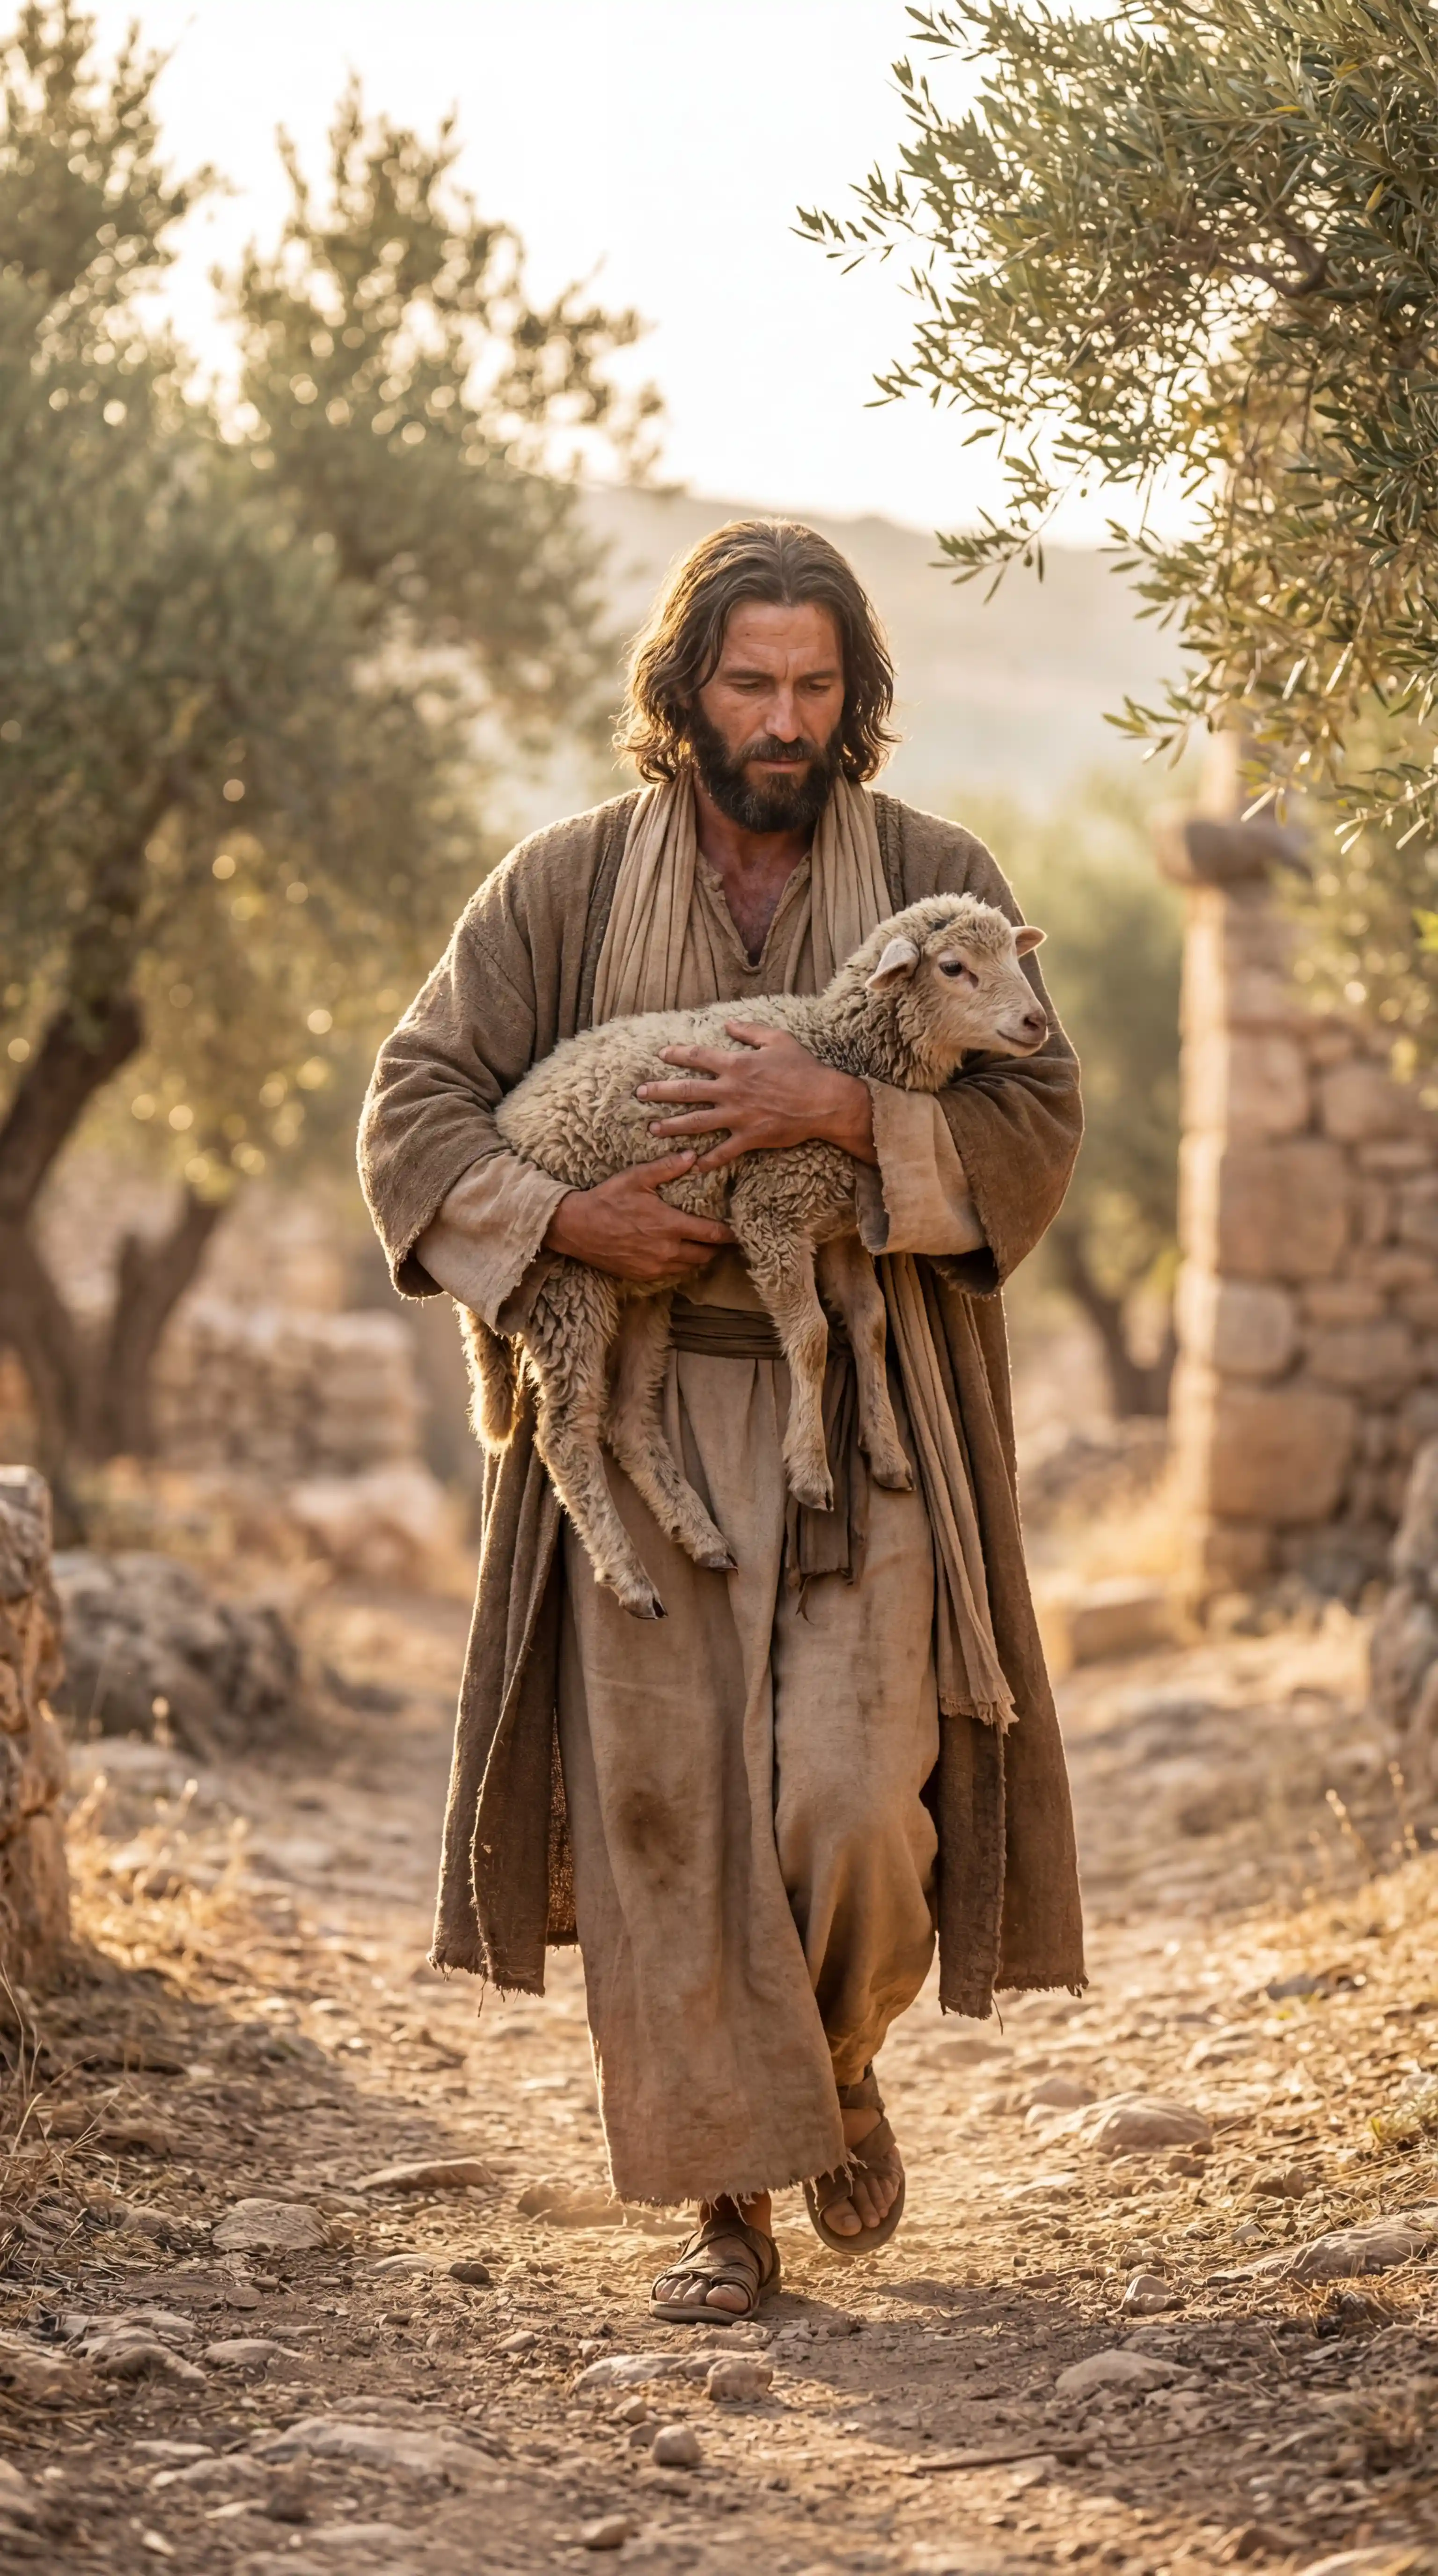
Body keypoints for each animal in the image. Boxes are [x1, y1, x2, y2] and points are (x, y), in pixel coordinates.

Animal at [464, 892, 1048, 1618]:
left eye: (1010, 957)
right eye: (953, 967)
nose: (1036, 1021)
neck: (836, 1049)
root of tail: (505, 1125)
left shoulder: (842, 1229)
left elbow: (871, 1325)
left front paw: (886, 1453)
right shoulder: (770, 1210)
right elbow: (812, 1337)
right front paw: (810, 1471)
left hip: (641, 1288)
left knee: (626, 1419)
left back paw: (701, 1536)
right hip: (568, 1282)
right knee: (565, 1434)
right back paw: (631, 1578)